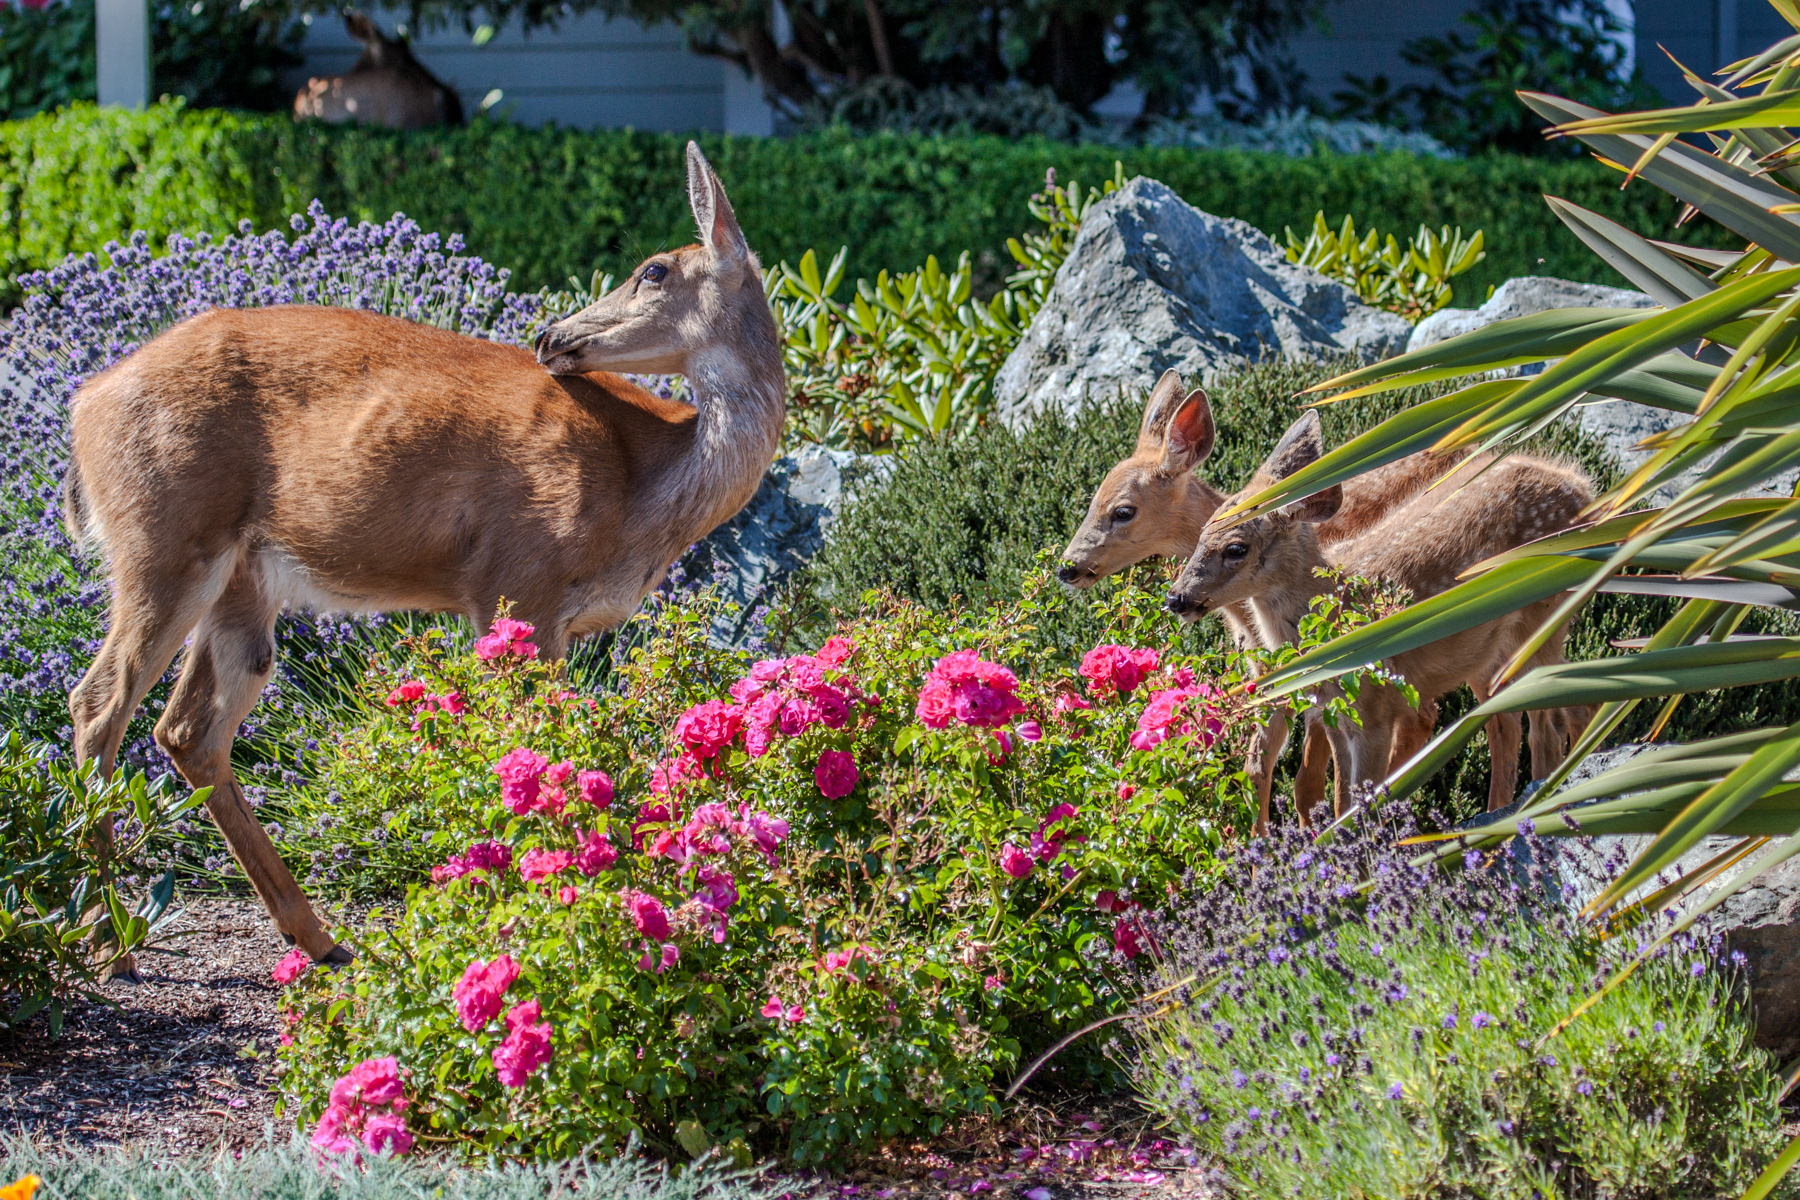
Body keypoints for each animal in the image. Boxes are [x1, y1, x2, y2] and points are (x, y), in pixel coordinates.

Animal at [64, 143, 782, 974]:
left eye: (655, 270)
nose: (550, 335)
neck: (643, 491)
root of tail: (84, 405)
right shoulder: (517, 582)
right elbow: (535, 751)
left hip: (241, 579)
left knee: (186, 730)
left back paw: (315, 937)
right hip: (164, 536)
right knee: (99, 702)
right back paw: (107, 940)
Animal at [1164, 410, 1594, 823]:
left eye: (1236, 548)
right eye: (1201, 533)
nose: (1176, 598)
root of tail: (1583, 489)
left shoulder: (1377, 712)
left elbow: (1358, 803)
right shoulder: (1334, 715)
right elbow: (1339, 799)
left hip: (1543, 619)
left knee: (1558, 717)